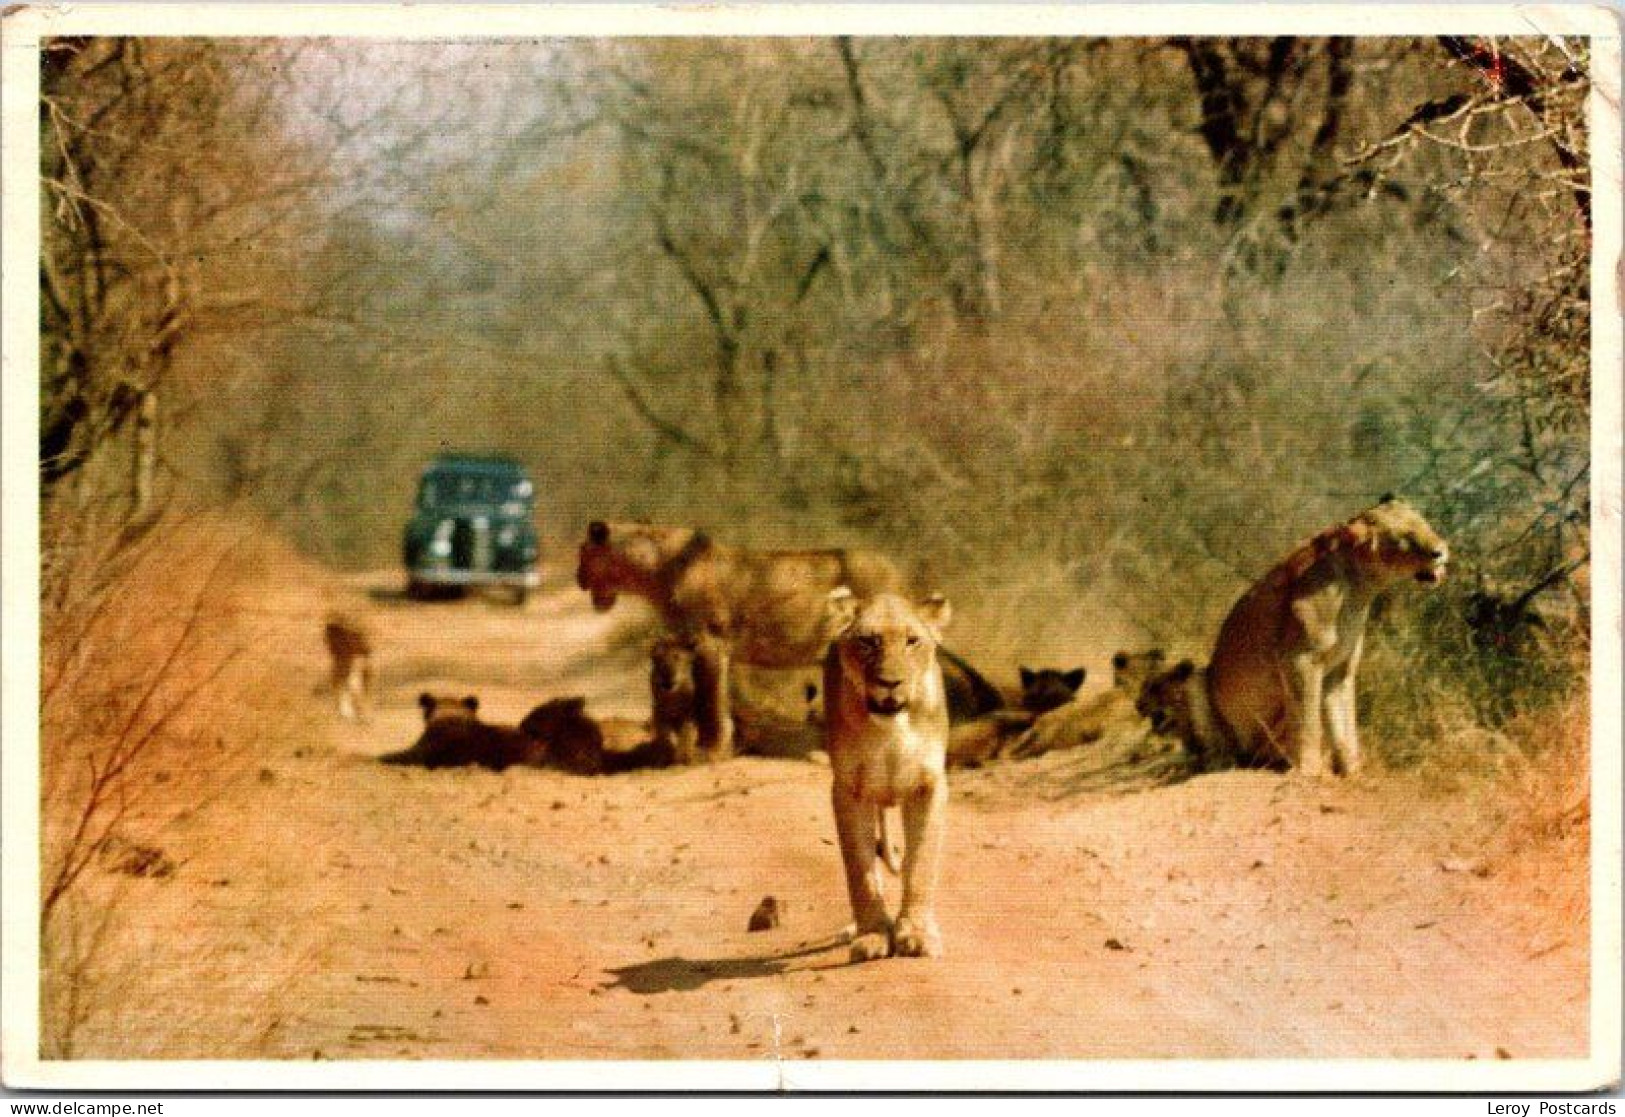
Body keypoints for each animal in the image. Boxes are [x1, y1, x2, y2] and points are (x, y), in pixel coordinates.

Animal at [825, 585, 949, 962]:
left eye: (912, 641)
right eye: (867, 641)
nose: (890, 682)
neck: (891, 729)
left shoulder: (929, 785)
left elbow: (921, 863)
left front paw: (917, 933)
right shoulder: (848, 789)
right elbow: (860, 871)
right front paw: (873, 935)